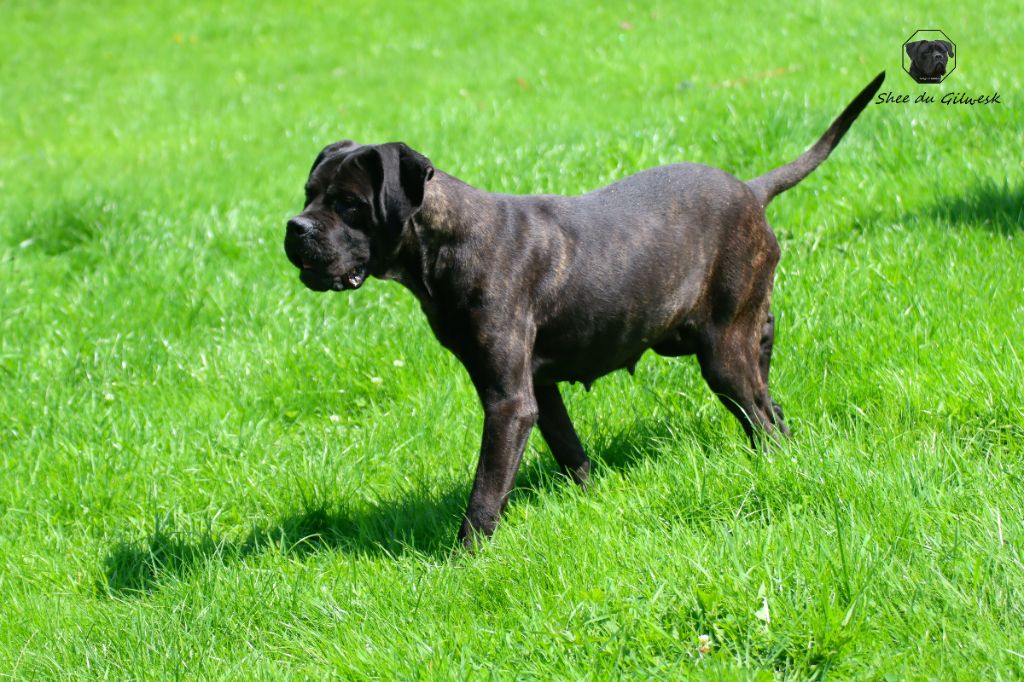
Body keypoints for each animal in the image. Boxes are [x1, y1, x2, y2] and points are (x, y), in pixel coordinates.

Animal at [284, 72, 885, 547]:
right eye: (308, 193)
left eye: (349, 205)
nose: (295, 227)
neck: (447, 242)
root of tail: (751, 189)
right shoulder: (536, 389)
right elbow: (570, 451)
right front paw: (589, 500)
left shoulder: (508, 401)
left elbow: (485, 492)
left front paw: (463, 558)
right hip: (723, 336)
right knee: (770, 398)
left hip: (721, 357)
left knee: (762, 420)